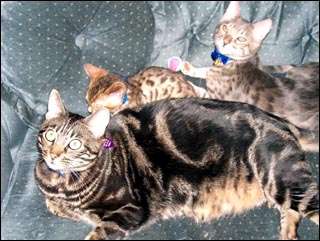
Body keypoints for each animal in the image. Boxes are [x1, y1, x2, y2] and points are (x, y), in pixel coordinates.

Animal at [35, 89, 318, 240]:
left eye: (74, 144)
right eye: (50, 135)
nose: (52, 155)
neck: (63, 182)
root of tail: (282, 121)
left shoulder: (132, 210)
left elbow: (97, 233)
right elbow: (57, 206)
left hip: (282, 181)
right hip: (277, 189)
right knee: (291, 212)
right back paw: (287, 234)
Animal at [181, 0, 318, 153]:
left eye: (241, 39)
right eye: (225, 28)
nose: (225, 41)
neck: (228, 63)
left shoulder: (218, 98)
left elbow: (199, 90)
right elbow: (205, 71)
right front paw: (189, 67)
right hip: (294, 72)